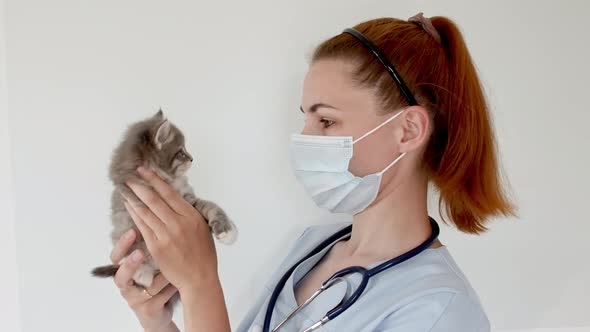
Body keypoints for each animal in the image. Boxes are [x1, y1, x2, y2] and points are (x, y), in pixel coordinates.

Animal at [91, 109, 237, 308]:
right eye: (181, 152)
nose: (192, 158)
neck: (165, 181)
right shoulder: (127, 216)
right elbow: (136, 245)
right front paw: (140, 270)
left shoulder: (188, 202)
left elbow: (211, 207)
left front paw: (228, 230)